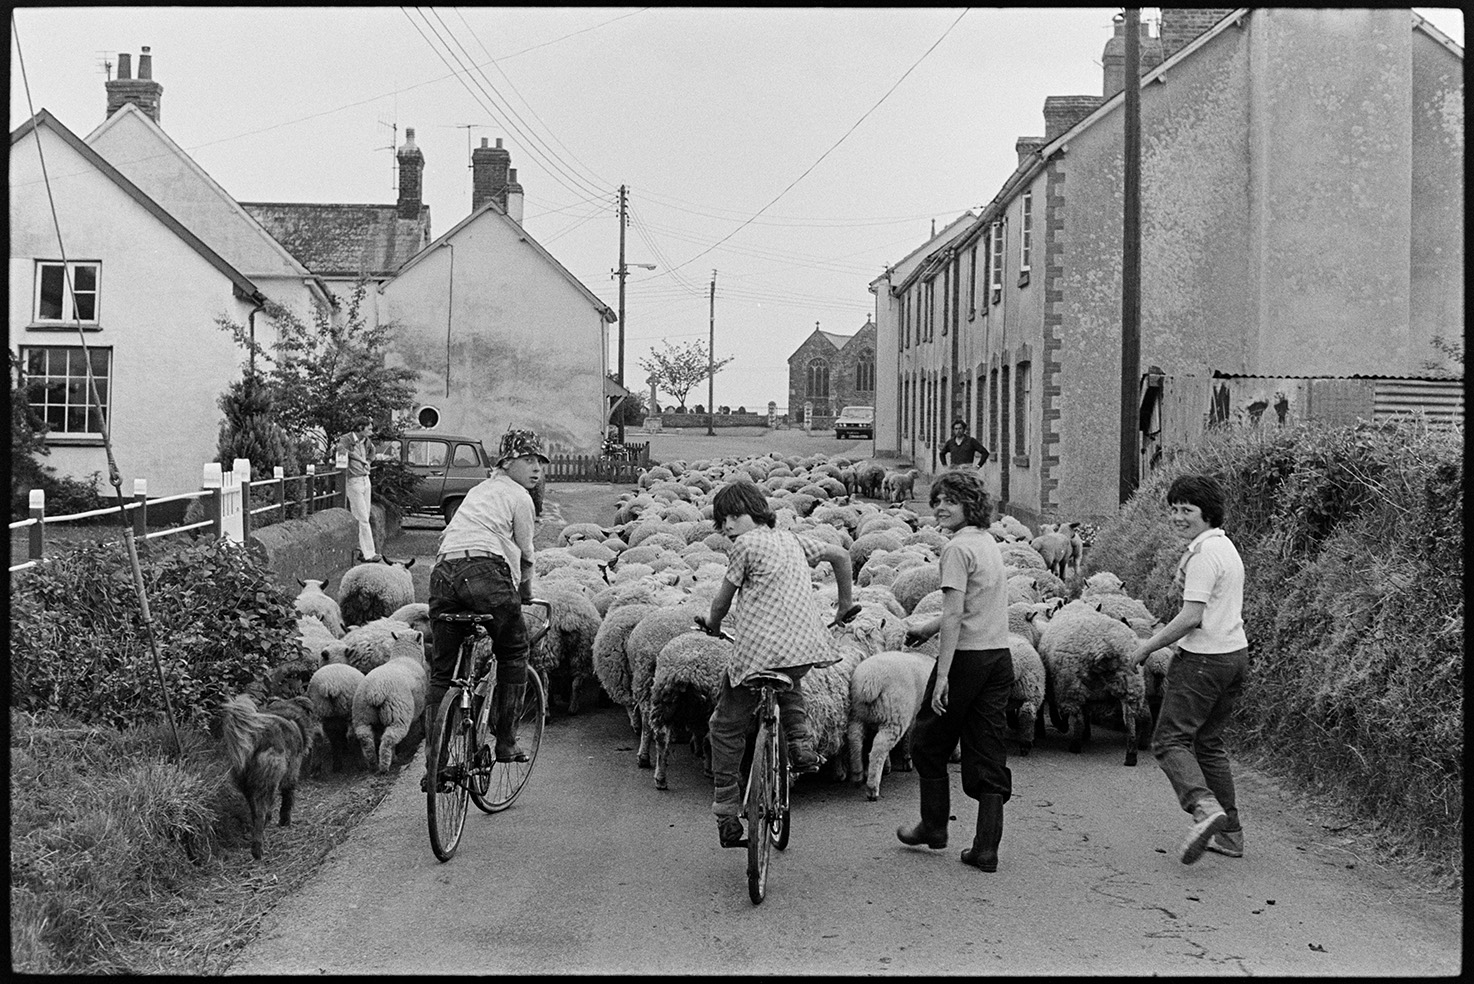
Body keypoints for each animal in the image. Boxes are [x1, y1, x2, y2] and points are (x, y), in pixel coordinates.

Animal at [219, 692, 321, 860]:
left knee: (255, 813)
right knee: (262, 813)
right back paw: (258, 849)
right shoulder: (292, 773)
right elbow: (287, 798)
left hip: (246, 784)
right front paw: (285, 820)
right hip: (269, 782)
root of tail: (257, 737)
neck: (286, 712)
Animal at [843, 654, 931, 801]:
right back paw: (872, 789)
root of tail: (870, 680)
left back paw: (857, 775)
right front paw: (907, 760)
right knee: (878, 749)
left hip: (858, 714)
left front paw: (888, 765)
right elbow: (908, 737)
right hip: (894, 717)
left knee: (855, 739)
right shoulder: (913, 715)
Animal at [1031, 601, 1155, 765]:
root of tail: (1108, 649)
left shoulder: (1057, 687)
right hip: (1132, 687)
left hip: (1071, 688)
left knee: (1078, 720)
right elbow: (1086, 713)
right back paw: (1132, 754)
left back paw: (1075, 746)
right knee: (1132, 720)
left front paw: (1064, 726)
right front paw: (1086, 733)